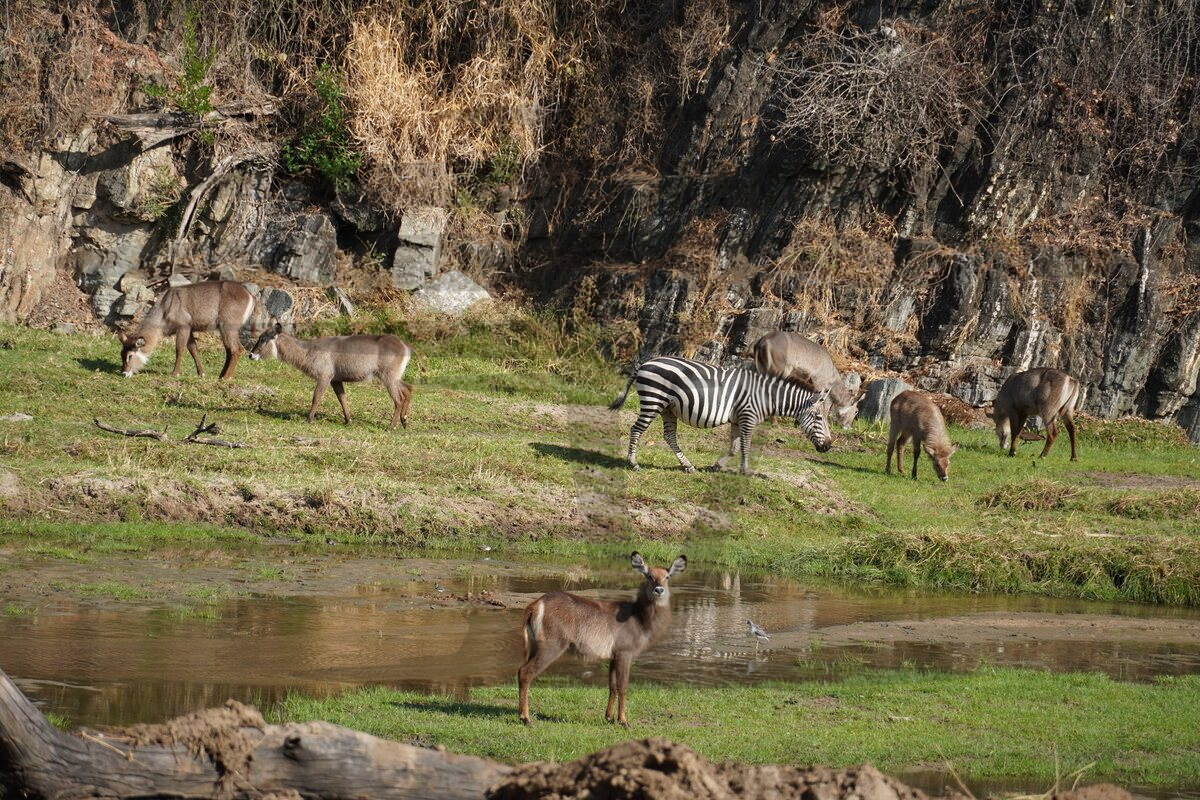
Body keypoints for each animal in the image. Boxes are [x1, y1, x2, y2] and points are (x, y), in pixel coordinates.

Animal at [118, 280, 255, 379]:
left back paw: (226, 377)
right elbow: (193, 348)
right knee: (229, 350)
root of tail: (250, 295)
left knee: (237, 349)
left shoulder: (183, 326)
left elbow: (180, 349)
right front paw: (201, 373)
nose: (124, 373)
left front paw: (175, 373)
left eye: (130, 355)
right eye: (121, 354)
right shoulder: (189, 328)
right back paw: (221, 375)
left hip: (228, 326)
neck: (164, 307)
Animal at [250, 323, 414, 429]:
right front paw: (348, 421)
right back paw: (404, 421)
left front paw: (309, 419)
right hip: (394, 378)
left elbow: (316, 397)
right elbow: (343, 399)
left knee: (398, 399)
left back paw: (392, 426)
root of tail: (405, 346)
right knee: (408, 389)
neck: (308, 351)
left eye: (263, 339)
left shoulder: (325, 377)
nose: (251, 355)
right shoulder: (336, 380)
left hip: (388, 377)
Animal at [518, 552, 687, 727]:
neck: (639, 617)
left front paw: (609, 717)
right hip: (552, 646)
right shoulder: (625, 653)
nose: (659, 590)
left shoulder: (613, 656)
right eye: (649, 575)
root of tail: (535, 605)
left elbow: (612, 686)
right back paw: (526, 718)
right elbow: (623, 686)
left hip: (535, 646)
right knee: (525, 672)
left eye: (667, 576)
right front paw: (623, 721)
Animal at [608, 356, 833, 475]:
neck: (766, 396)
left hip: (667, 408)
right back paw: (633, 462)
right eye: (819, 418)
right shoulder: (748, 416)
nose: (828, 447)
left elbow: (734, 448)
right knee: (636, 429)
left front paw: (717, 466)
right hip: (653, 400)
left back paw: (687, 466)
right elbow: (745, 446)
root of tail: (645, 363)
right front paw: (746, 471)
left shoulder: (737, 419)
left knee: (669, 436)